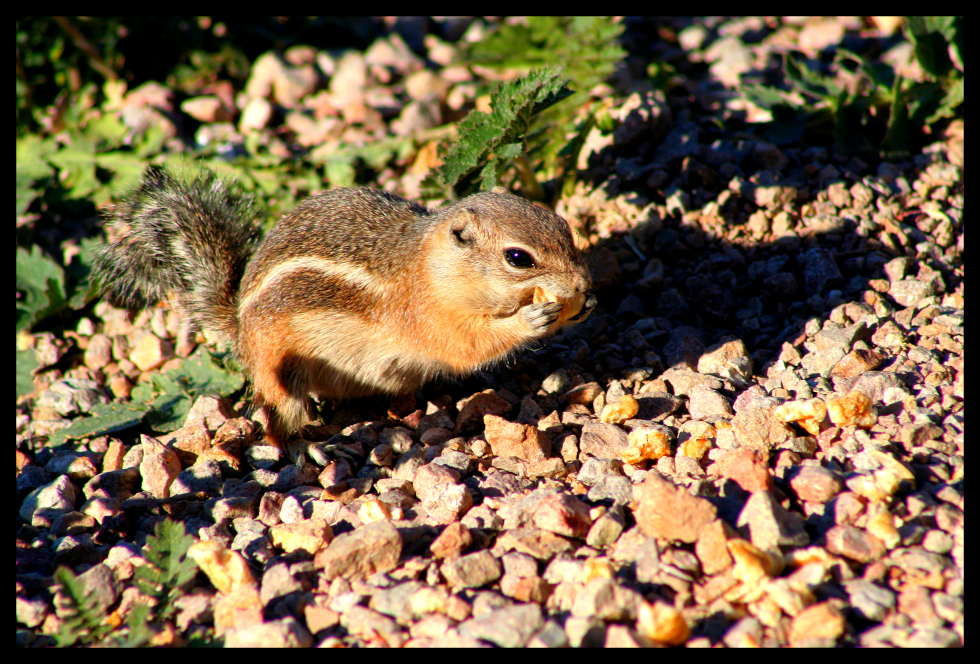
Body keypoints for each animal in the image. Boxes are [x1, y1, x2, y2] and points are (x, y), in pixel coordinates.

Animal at [94, 169, 596, 452]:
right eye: (518, 258)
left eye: (564, 226)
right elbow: (469, 346)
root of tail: (237, 329)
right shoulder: (428, 318)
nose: (582, 285)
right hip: (280, 372)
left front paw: (584, 305)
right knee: (278, 425)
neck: (430, 268)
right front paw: (531, 320)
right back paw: (310, 449)